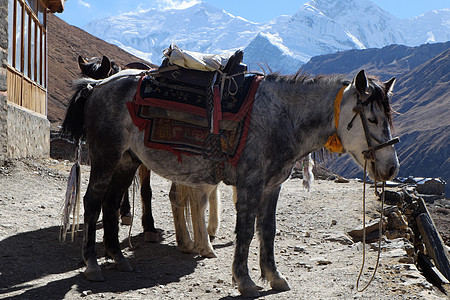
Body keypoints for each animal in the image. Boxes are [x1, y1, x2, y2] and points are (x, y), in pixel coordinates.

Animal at [62, 69, 398, 296]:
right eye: (372, 119)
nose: (391, 168)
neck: (283, 118)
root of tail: (98, 85)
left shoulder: (272, 186)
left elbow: (268, 231)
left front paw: (274, 277)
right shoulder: (250, 185)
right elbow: (246, 231)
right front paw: (245, 281)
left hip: (127, 161)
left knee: (110, 203)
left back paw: (119, 258)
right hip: (106, 158)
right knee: (92, 203)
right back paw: (92, 265)